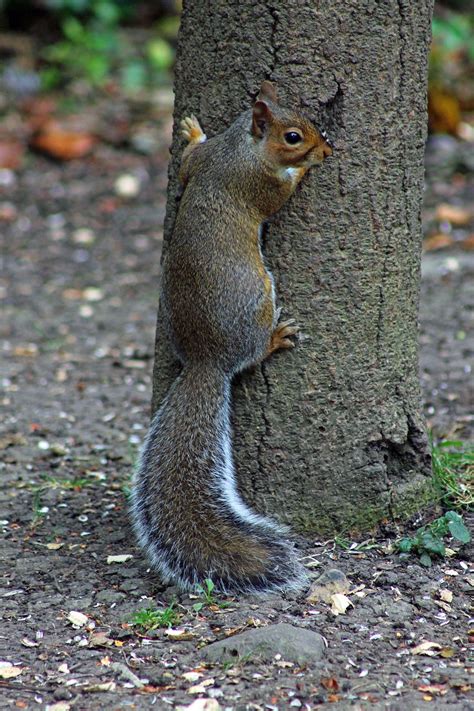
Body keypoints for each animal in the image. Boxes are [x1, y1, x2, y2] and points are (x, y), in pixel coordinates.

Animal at [131, 82, 334, 596]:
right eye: (293, 135)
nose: (327, 149)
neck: (240, 147)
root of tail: (206, 360)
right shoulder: (259, 184)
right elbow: (279, 196)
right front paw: (305, 169)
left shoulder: (202, 163)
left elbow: (189, 162)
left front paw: (192, 130)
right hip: (259, 299)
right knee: (253, 354)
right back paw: (276, 338)